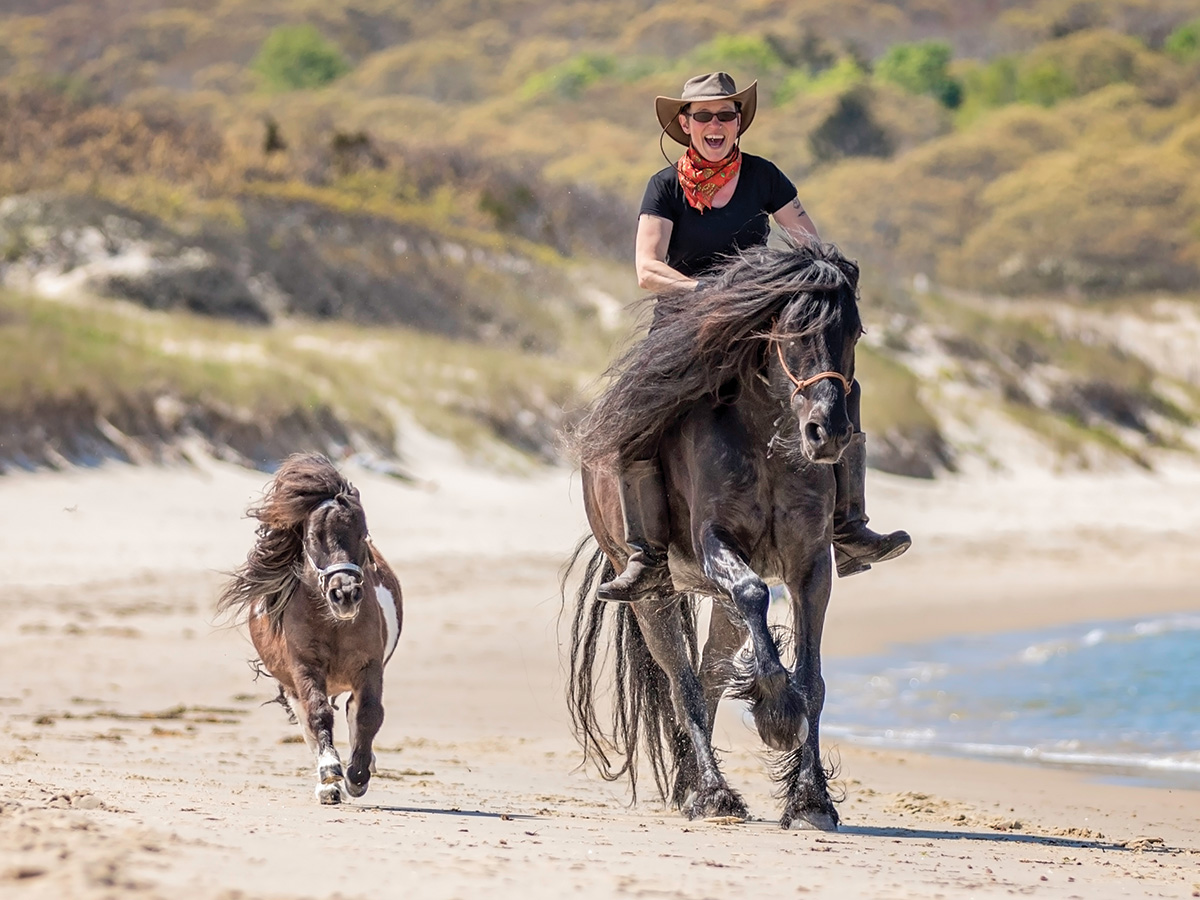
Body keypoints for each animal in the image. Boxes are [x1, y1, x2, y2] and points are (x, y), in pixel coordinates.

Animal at [217, 453, 403, 806]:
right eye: (315, 536)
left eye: (362, 534)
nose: (345, 594)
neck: (332, 623)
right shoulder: (303, 666)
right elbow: (318, 715)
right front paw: (331, 772)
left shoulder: (369, 664)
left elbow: (368, 713)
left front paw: (358, 774)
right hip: (290, 685)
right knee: (308, 722)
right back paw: (328, 787)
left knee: (352, 711)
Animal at [564, 240, 859, 830]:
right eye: (796, 332)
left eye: (856, 333)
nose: (829, 434)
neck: (766, 432)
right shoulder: (717, 544)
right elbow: (752, 593)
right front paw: (776, 715)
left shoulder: (811, 565)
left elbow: (813, 680)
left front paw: (811, 799)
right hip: (652, 594)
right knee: (685, 686)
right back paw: (712, 794)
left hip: (717, 606)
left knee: (710, 676)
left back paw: (692, 785)